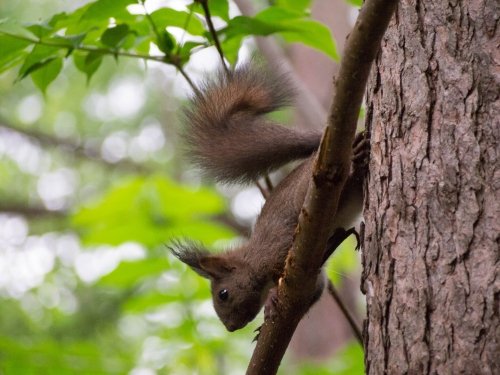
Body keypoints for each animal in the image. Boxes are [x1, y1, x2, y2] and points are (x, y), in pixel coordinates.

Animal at [170, 64, 370, 332]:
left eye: (223, 294)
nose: (230, 328)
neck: (254, 259)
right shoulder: (315, 279)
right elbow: (315, 290)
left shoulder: (279, 248)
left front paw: (273, 299)